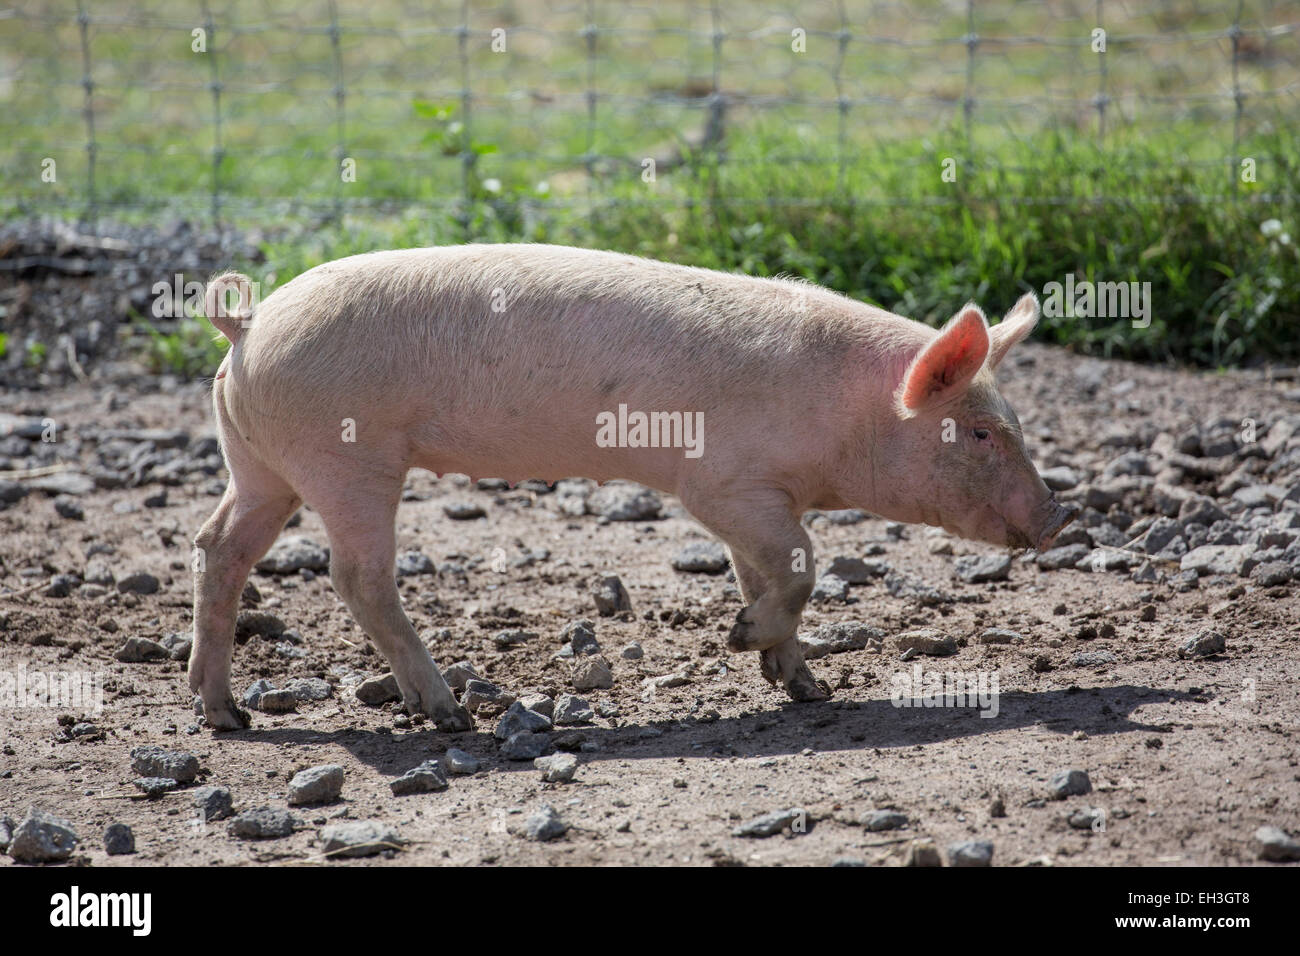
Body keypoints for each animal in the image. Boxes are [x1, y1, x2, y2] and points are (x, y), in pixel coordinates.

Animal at [195, 247, 1076, 733]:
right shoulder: (720, 482)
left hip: (260, 463)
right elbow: (801, 563)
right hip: (349, 459)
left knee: (218, 547)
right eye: (980, 434)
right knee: (357, 577)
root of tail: (248, 326)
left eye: (1014, 423)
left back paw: (227, 714)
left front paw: (805, 685)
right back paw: (450, 712)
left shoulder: (757, 500)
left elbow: (766, 572)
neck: (846, 414)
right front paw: (740, 640)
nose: (1061, 516)